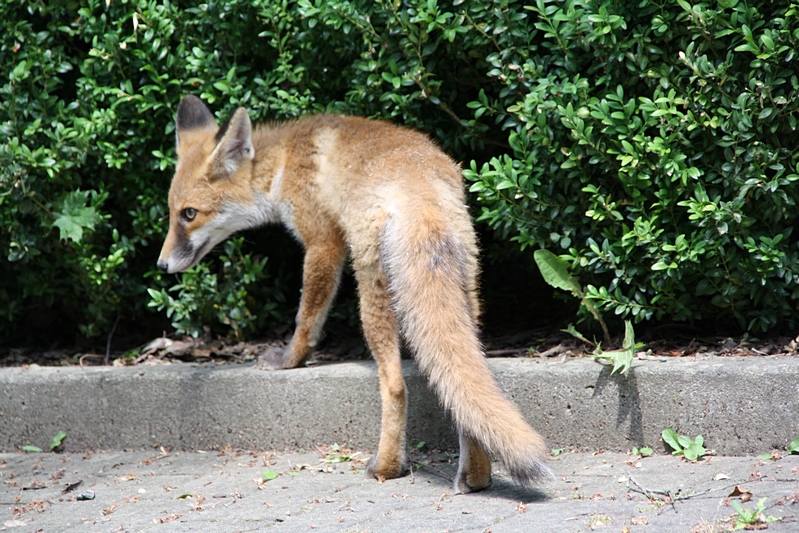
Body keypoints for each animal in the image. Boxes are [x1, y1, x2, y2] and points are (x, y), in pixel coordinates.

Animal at [157, 94, 553, 492]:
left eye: (189, 214)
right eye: (172, 213)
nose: (161, 265)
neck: (284, 161)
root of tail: (421, 193)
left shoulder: (322, 243)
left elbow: (306, 318)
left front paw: (290, 359)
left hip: (372, 299)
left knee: (395, 386)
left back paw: (387, 467)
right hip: (467, 294)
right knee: (464, 383)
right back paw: (475, 477)